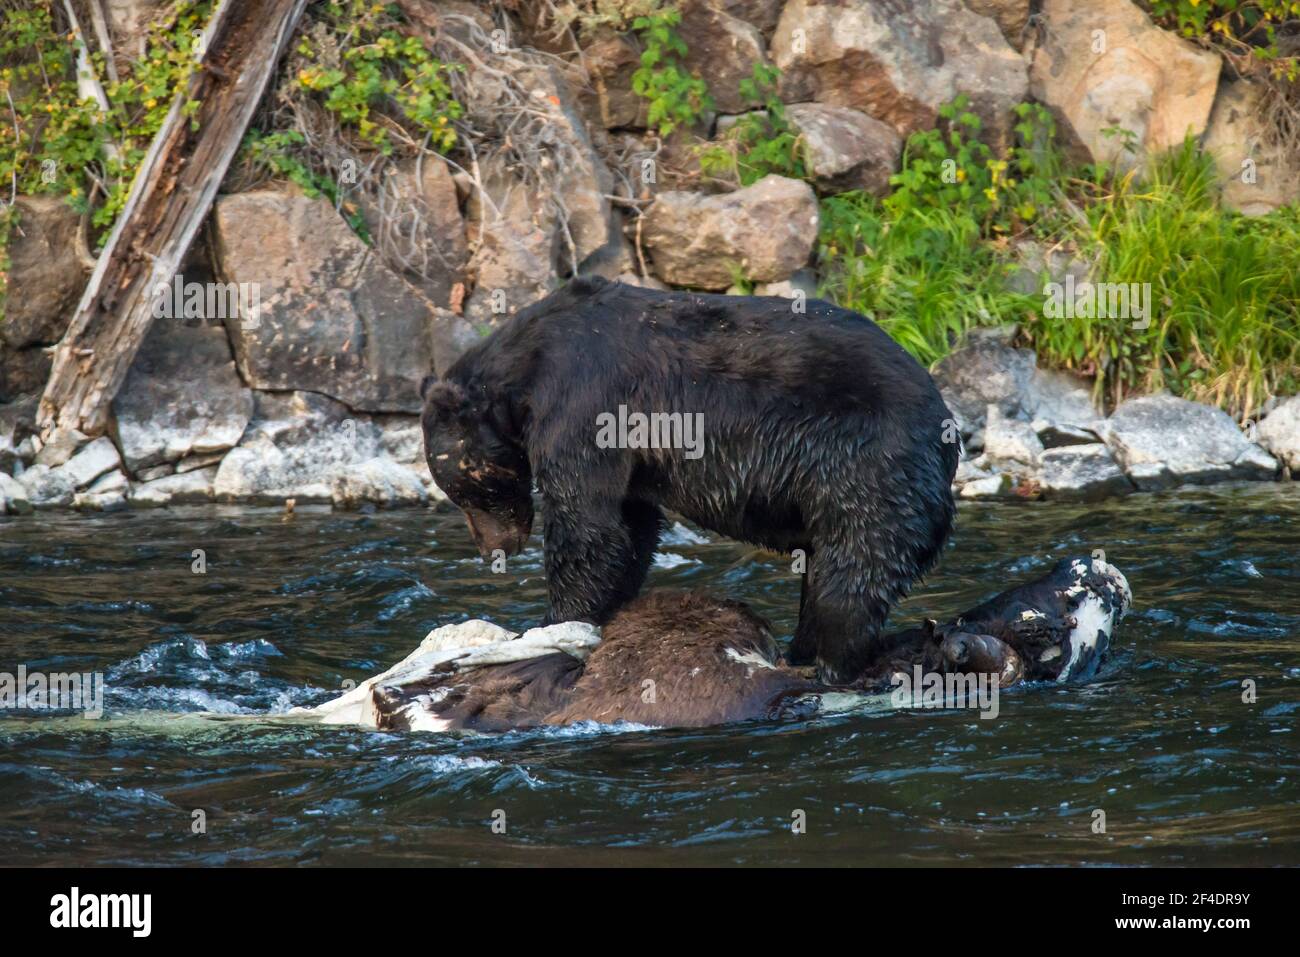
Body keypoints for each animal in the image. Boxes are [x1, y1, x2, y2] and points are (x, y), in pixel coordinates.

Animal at [420, 277, 959, 683]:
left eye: (468, 492)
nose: (495, 549)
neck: (526, 377)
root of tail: (947, 428)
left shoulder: (583, 404)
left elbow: (586, 527)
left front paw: (547, 623)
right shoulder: (626, 453)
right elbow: (629, 529)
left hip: (865, 463)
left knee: (853, 570)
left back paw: (827, 661)